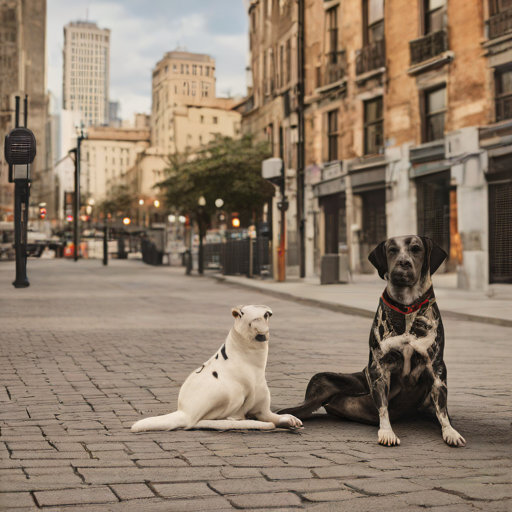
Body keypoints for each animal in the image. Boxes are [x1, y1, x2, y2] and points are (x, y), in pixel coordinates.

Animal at [130, 304, 302, 432]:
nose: (262, 333)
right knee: (200, 422)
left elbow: (273, 416)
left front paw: (288, 419)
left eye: (266, 316)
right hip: (229, 392)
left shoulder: (263, 409)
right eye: (252, 318)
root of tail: (184, 412)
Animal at [280, 237, 464, 448]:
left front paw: (449, 430)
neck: (407, 306)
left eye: (416, 249)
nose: (403, 263)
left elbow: (441, 408)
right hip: (322, 381)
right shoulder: (379, 366)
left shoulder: (436, 366)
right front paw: (387, 431)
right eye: (392, 250)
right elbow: (383, 405)